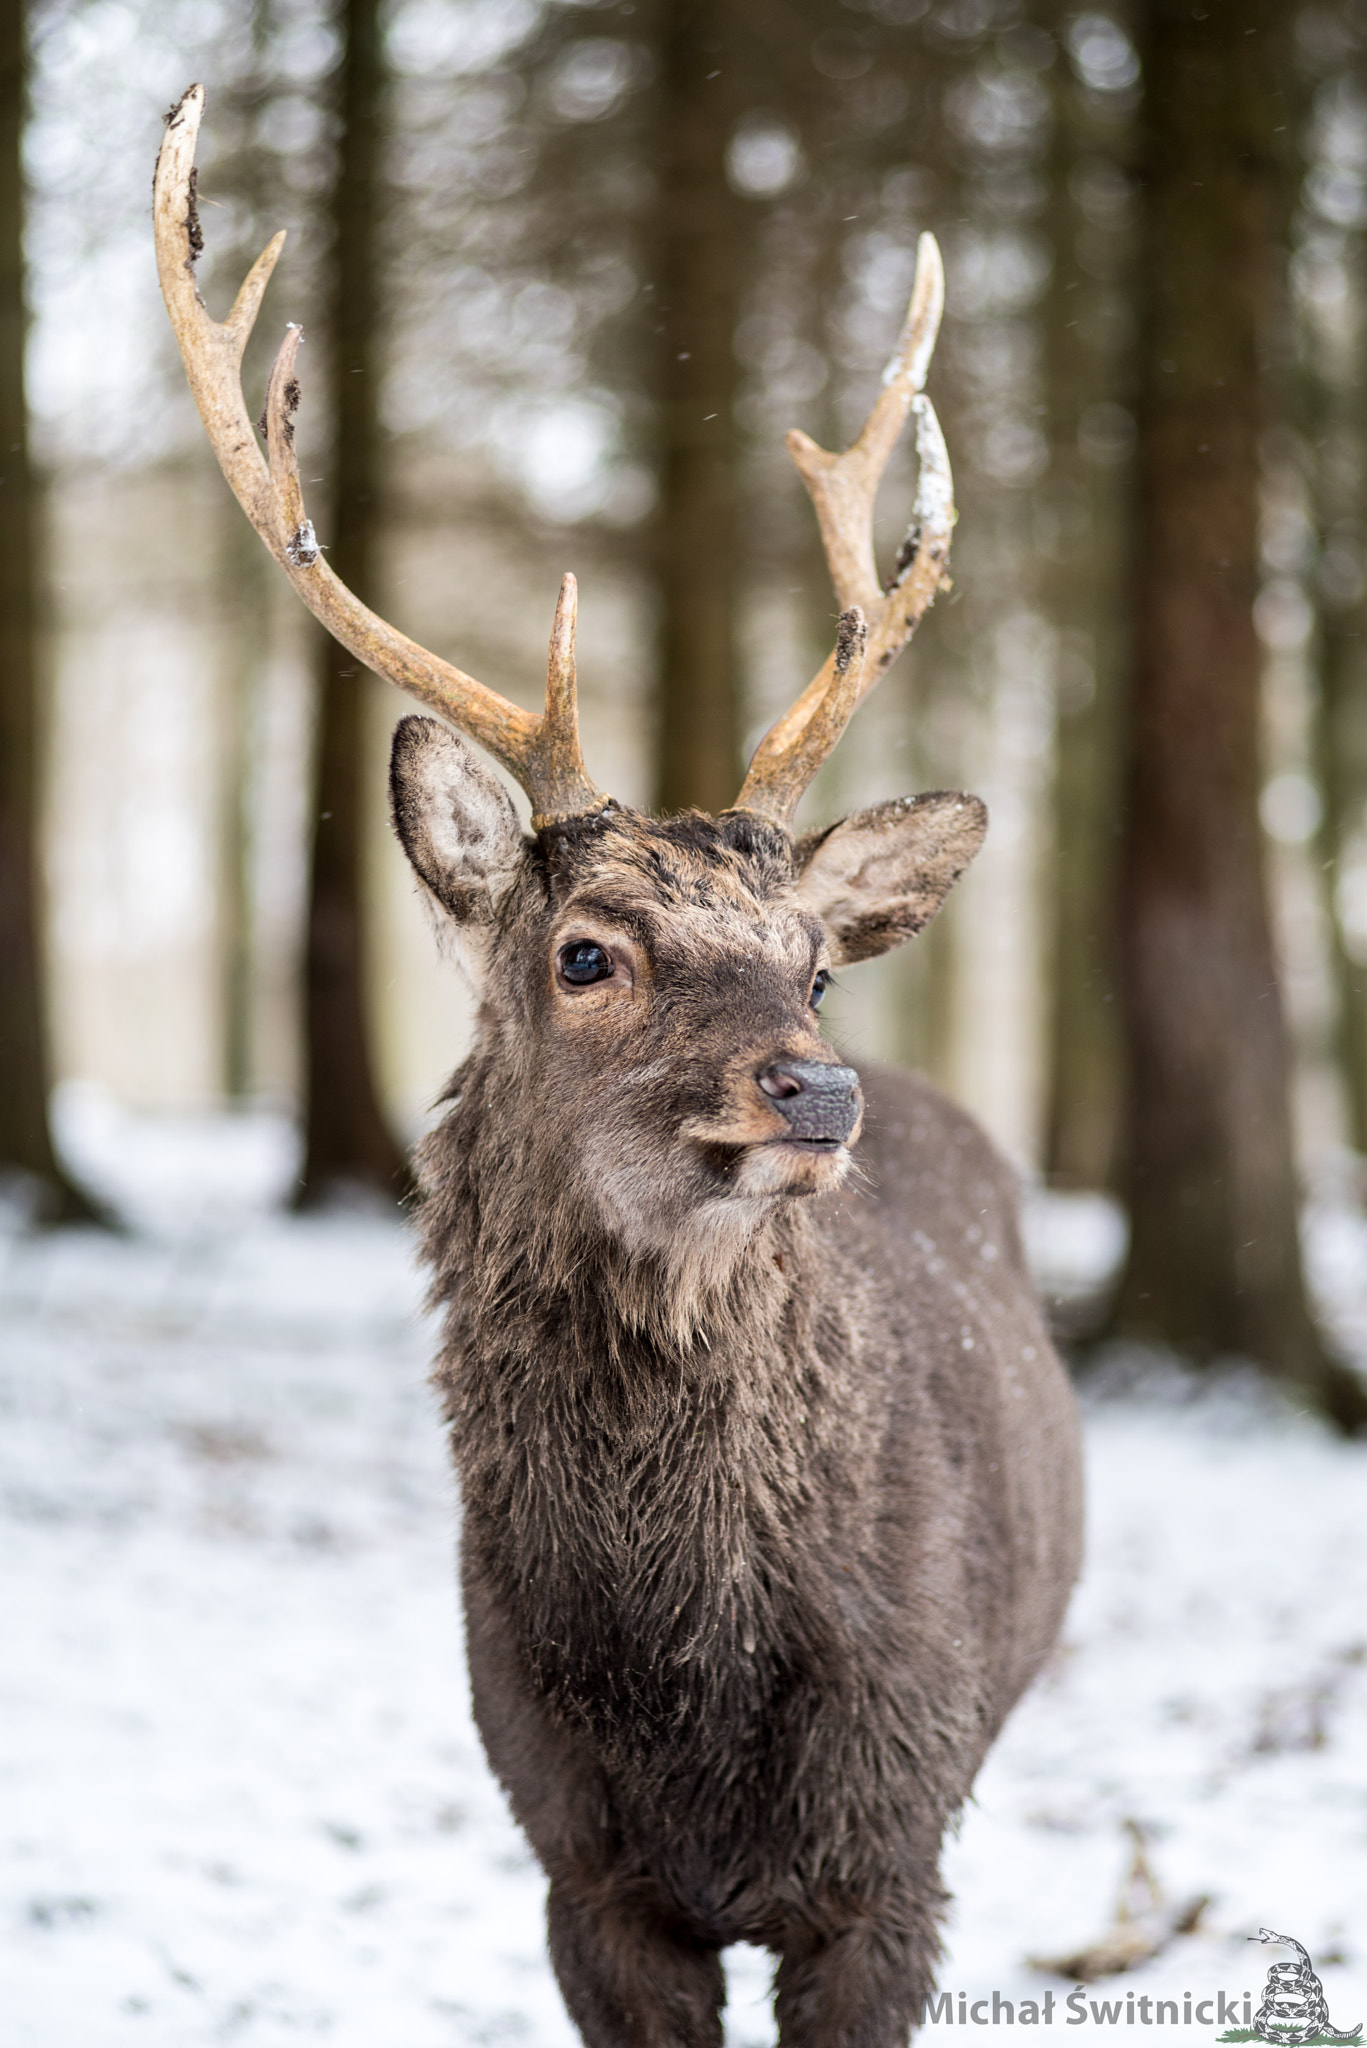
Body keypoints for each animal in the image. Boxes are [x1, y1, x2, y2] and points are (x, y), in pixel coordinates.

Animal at [157, 88, 1082, 2039]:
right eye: (586, 950)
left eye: (814, 959)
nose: (815, 1085)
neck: (686, 1685)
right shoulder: (573, 1862)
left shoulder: (888, 1855)